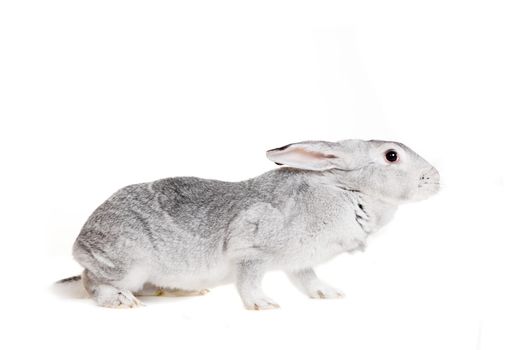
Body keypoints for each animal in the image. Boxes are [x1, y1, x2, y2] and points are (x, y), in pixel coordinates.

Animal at [56, 139, 438, 308]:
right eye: (391, 156)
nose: (435, 180)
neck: (345, 189)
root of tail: (79, 245)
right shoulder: (252, 250)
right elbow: (249, 280)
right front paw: (263, 304)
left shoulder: (301, 263)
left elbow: (308, 280)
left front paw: (328, 294)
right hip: (126, 263)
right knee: (93, 283)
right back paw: (120, 300)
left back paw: (184, 291)